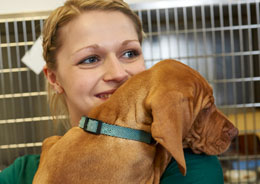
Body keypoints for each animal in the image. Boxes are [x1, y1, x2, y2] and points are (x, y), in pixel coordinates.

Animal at [32, 59, 238, 184]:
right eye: (206, 108)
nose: (235, 132)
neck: (114, 126)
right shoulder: (149, 177)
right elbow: (164, 152)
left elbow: (49, 141)